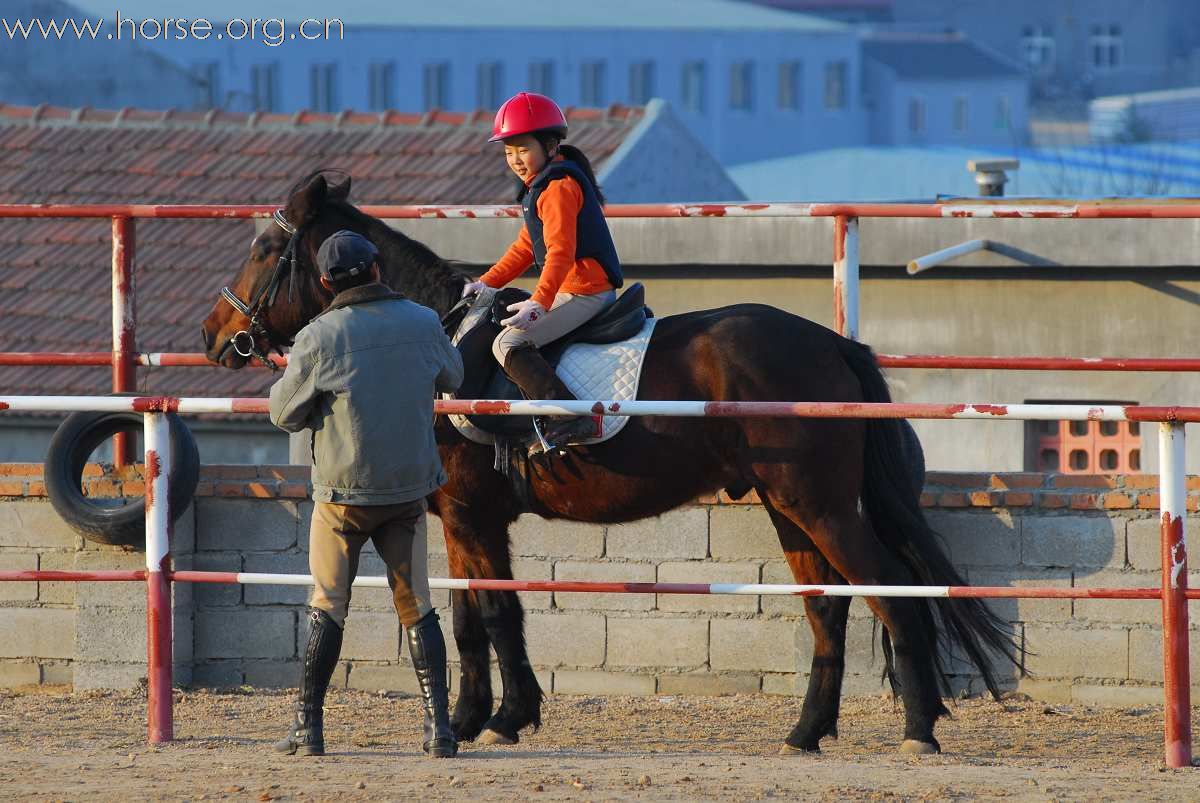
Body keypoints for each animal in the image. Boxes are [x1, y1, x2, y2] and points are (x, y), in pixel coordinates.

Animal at [201, 172, 1017, 753]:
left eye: (266, 251)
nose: (213, 335)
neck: (439, 341)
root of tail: (833, 345)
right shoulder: (464, 517)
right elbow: (473, 614)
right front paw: (483, 716)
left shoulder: (469, 512)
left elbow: (490, 612)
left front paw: (494, 718)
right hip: (790, 508)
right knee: (827, 607)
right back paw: (806, 731)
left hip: (820, 506)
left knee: (891, 591)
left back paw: (918, 729)